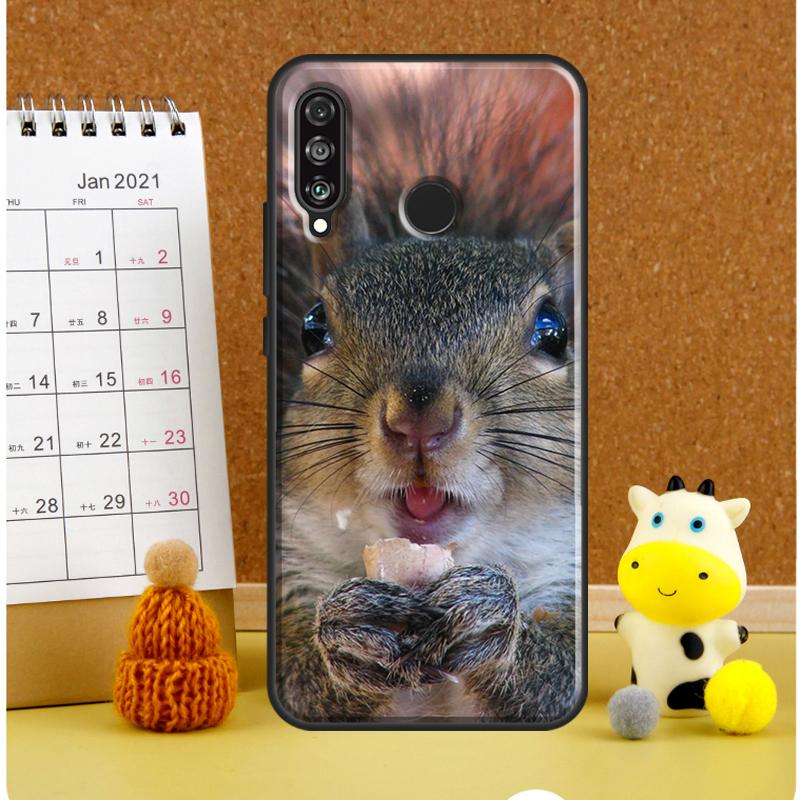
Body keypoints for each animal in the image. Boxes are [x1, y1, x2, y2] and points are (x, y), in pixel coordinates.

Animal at [274, 64, 580, 723]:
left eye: (554, 331)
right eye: (313, 327)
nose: (418, 419)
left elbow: (559, 677)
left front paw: (495, 626)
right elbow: (294, 681)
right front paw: (345, 636)